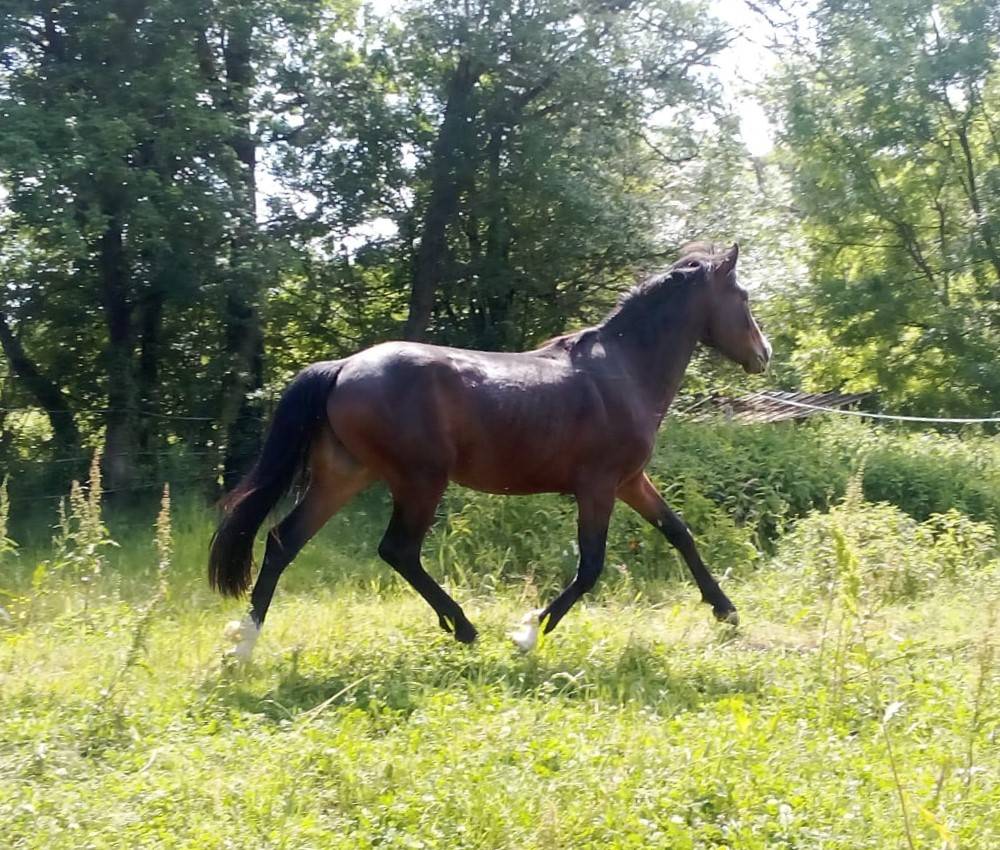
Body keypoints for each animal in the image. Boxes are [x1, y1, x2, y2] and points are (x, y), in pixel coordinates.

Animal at [210, 242, 771, 659]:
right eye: (742, 296)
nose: (763, 353)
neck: (624, 370)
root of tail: (344, 366)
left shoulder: (630, 481)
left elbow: (678, 532)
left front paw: (726, 610)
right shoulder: (597, 487)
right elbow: (590, 566)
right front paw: (527, 633)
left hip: (344, 475)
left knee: (283, 542)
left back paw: (244, 645)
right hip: (420, 480)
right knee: (397, 550)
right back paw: (463, 626)